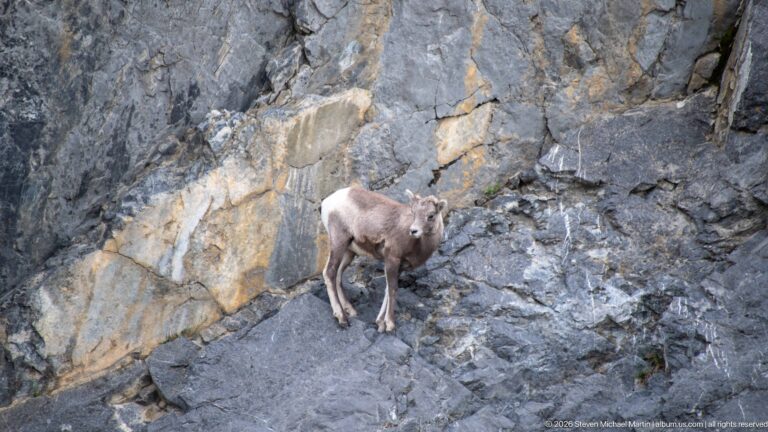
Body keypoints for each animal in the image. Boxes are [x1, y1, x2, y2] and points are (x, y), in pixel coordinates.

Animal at [320, 186, 447, 332]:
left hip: (349, 252)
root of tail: (327, 202)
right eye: (414, 212)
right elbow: (392, 289)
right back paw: (342, 318)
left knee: (338, 276)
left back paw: (350, 310)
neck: (418, 245)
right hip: (339, 242)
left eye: (431, 215)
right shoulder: (392, 259)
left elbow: (387, 290)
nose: (413, 231)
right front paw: (390, 324)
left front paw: (380, 323)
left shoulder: (399, 267)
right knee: (330, 272)